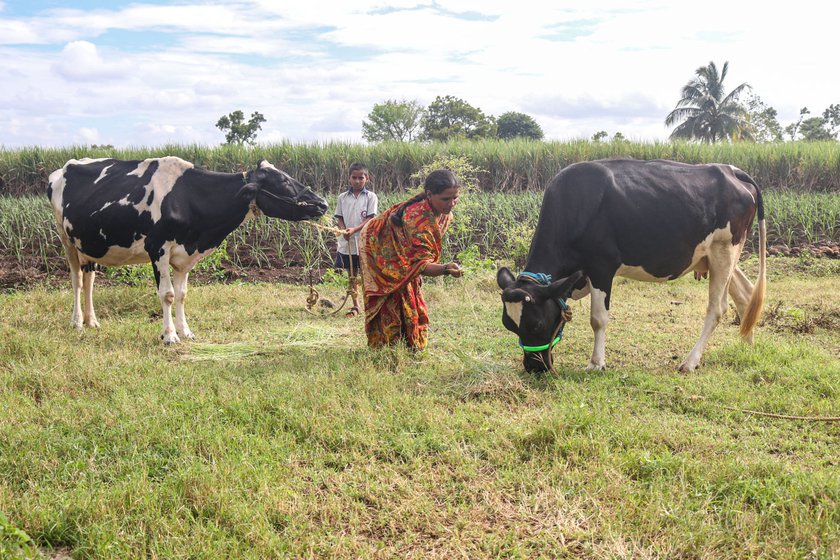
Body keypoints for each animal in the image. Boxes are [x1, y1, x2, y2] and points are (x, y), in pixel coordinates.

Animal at [46, 155, 328, 344]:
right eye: (283, 180)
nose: (322, 203)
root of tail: (63, 168)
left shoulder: (185, 256)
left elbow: (181, 295)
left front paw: (186, 331)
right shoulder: (157, 248)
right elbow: (167, 294)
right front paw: (169, 336)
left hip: (89, 244)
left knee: (89, 279)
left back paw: (92, 321)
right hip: (65, 238)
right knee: (77, 280)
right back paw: (77, 322)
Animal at [498, 159, 768, 372]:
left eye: (536, 324)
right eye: (509, 326)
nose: (533, 367)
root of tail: (732, 170)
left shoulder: (601, 267)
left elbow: (598, 319)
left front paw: (596, 364)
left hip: (725, 249)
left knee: (717, 308)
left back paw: (690, 362)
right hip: (715, 255)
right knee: (745, 295)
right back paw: (747, 346)